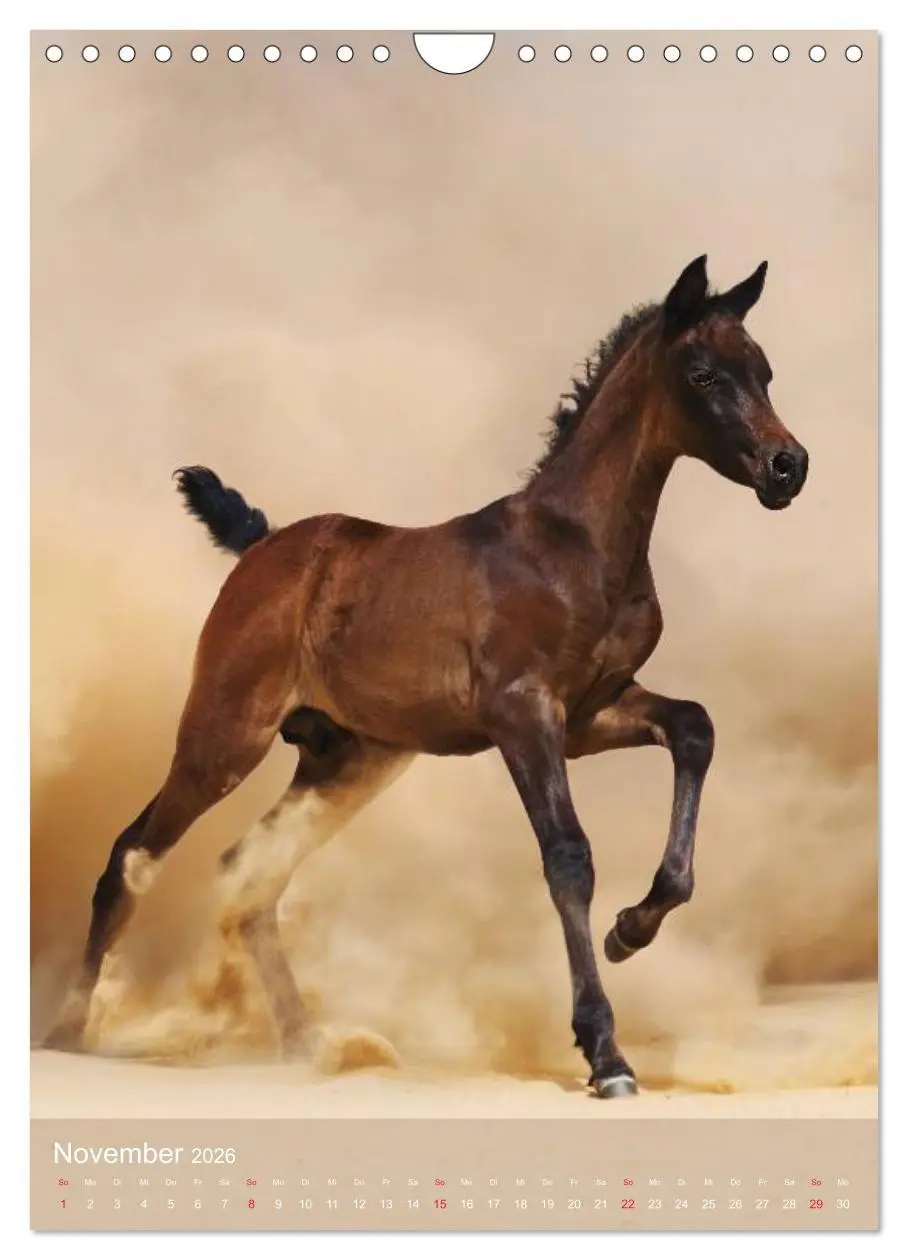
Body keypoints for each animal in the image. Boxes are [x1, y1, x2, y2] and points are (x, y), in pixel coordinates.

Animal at [43, 255, 808, 1099]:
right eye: (704, 374)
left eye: (765, 371)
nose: (788, 466)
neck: (574, 545)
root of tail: (263, 545)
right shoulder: (523, 715)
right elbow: (568, 857)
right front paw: (605, 1052)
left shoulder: (590, 714)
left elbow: (695, 726)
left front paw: (631, 929)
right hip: (224, 736)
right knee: (130, 855)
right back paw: (70, 1031)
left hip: (347, 761)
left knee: (250, 874)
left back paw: (309, 1043)